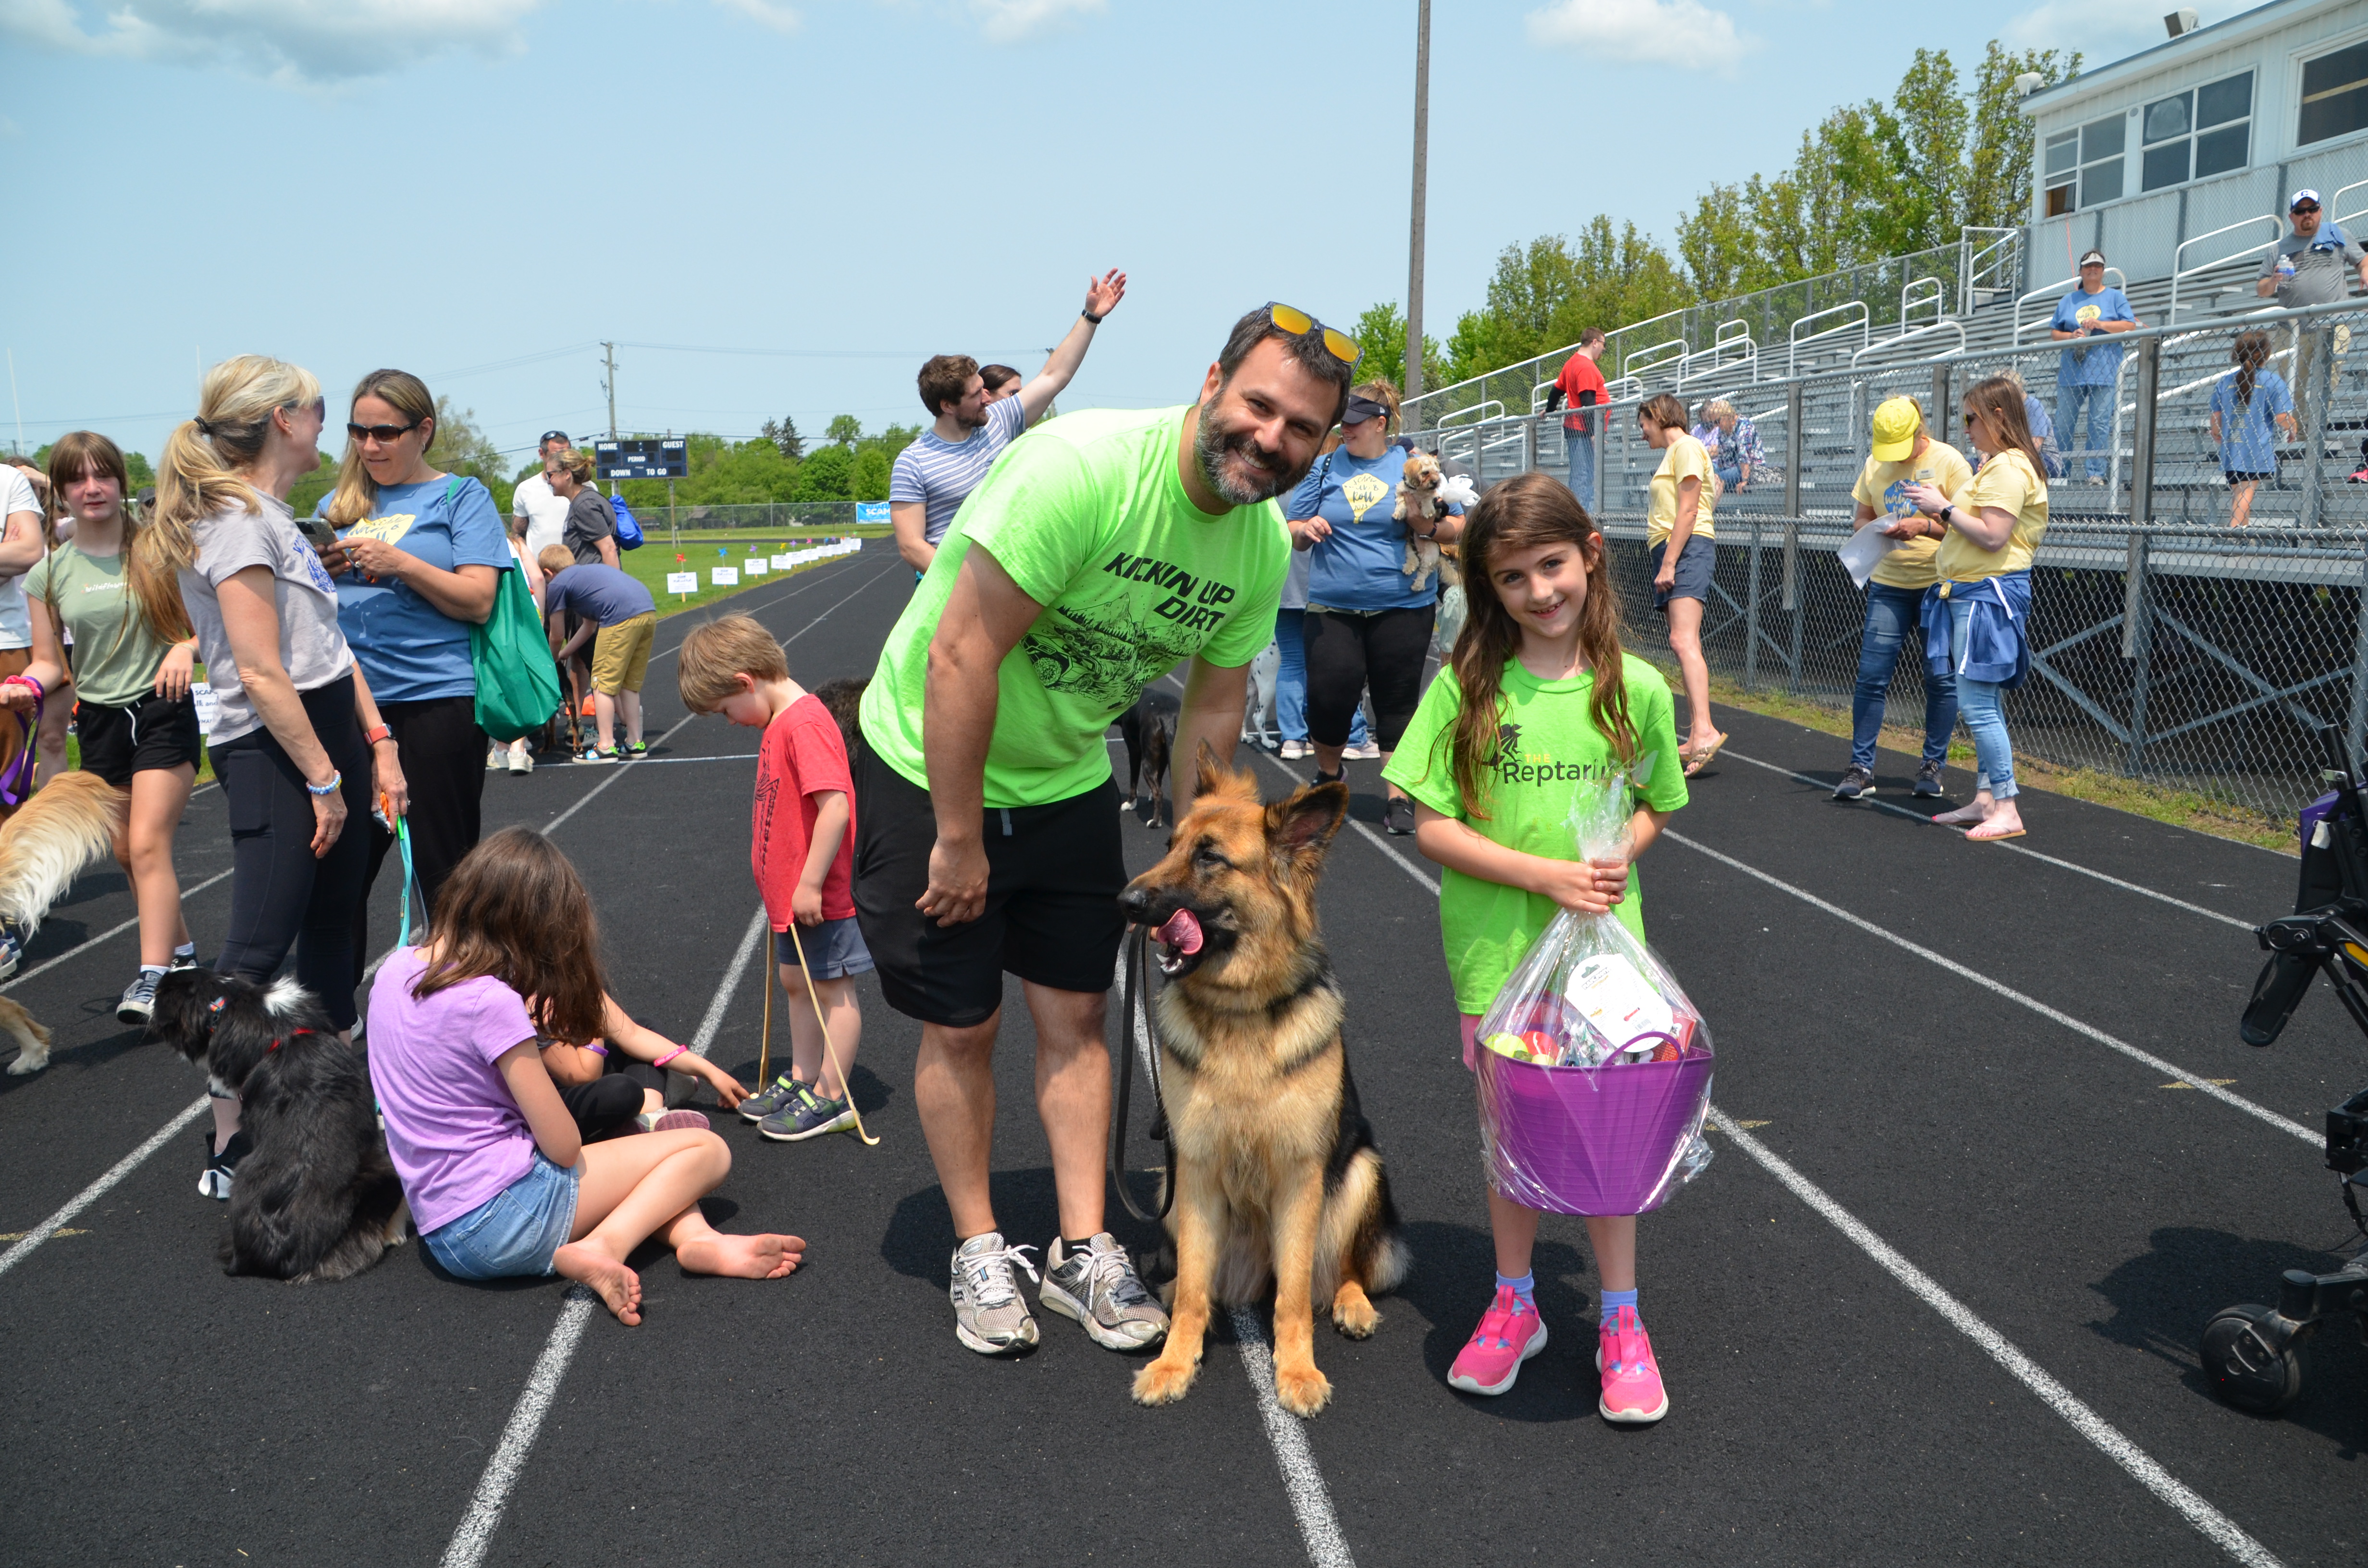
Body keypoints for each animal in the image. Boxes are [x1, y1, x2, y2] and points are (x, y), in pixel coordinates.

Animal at [1113, 753, 1392, 1421]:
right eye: (1169, 845)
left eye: (1209, 857)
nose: (1124, 902)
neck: (1239, 1007)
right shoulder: (1193, 1170)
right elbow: (1194, 1289)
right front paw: (1173, 1364)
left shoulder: (1300, 1175)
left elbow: (1292, 1296)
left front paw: (1296, 1372)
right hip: (1168, 1187)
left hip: (1361, 1170)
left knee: (1341, 1266)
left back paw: (1352, 1302)